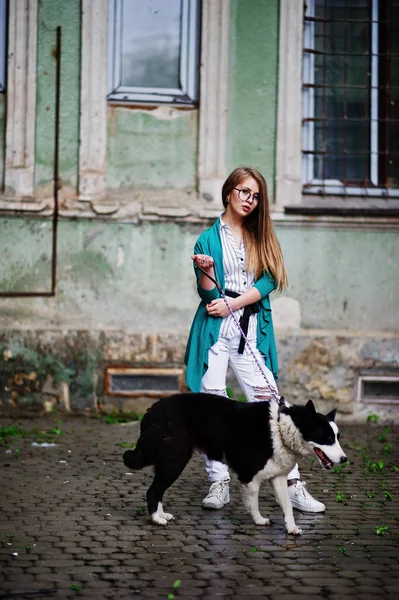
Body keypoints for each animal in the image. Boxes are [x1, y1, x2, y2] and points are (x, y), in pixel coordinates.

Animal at [124, 394, 346, 536]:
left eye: (337, 437)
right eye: (327, 438)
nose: (345, 459)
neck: (281, 428)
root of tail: (151, 411)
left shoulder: (278, 477)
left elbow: (287, 507)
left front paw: (291, 528)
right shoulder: (250, 478)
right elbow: (253, 503)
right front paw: (259, 520)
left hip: (170, 463)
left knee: (158, 491)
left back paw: (162, 514)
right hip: (175, 461)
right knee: (153, 491)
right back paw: (156, 519)